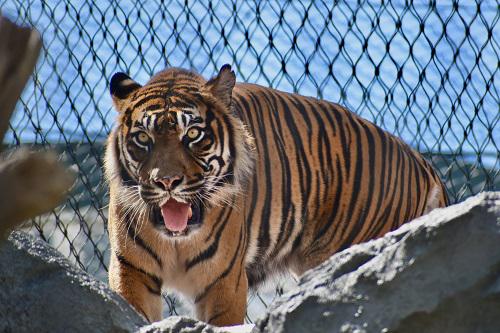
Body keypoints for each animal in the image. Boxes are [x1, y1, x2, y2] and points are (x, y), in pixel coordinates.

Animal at [103, 64, 448, 324]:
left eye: (193, 134)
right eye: (143, 139)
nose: (167, 181)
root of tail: (422, 163)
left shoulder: (224, 283)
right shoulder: (130, 270)